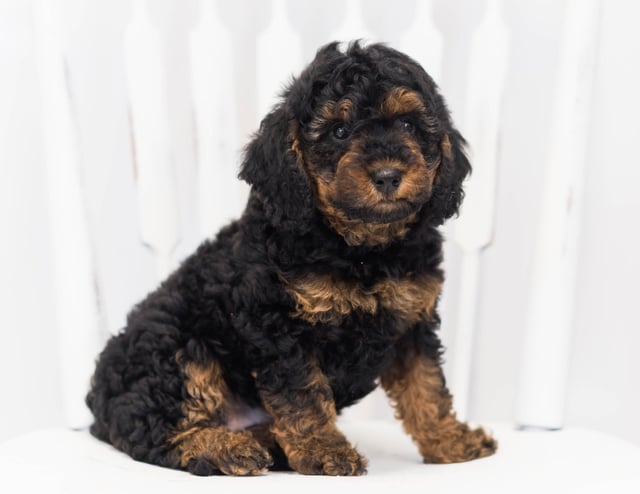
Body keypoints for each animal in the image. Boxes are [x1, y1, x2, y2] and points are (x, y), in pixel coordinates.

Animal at [86, 41, 496, 474]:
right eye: (339, 130)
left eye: (407, 125)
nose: (387, 175)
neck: (362, 250)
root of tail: (98, 408)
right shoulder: (277, 326)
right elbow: (302, 393)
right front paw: (324, 450)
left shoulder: (412, 321)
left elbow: (427, 386)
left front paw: (450, 439)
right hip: (172, 350)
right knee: (152, 430)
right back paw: (225, 448)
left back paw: (265, 442)